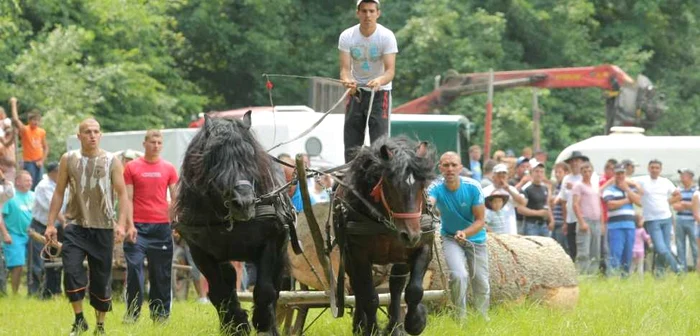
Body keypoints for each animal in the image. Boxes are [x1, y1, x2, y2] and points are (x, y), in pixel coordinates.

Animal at [176, 111, 296, 334]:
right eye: (215, 156)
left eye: (250, 155)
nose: (244, 202)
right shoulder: (200, 250)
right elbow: (220, 291)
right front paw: (237, 324)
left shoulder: (271, 241)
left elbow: (266, 289)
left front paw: (264, 324)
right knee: (228, 279)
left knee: (275, 285)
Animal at [336, 135, 434, 334]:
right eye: (391, 185)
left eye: (422, 184)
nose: (411, 235)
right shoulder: (358, 254)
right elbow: (369, 297)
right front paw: (371, 329)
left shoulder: (422, 244)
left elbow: (414, 290)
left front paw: (415, 321)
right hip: (348, 257)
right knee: (358, 287)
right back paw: (360, 324)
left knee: (396, 286)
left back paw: (395, 326)